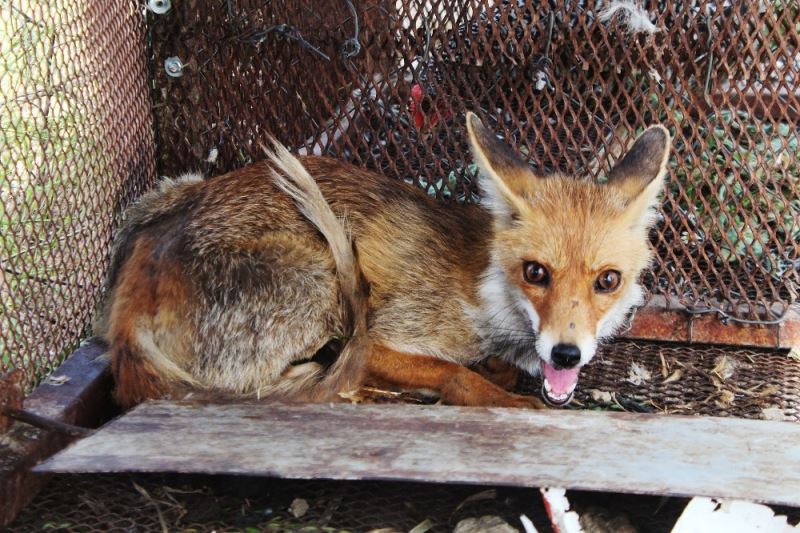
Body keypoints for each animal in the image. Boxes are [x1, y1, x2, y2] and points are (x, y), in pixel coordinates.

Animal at [95, 113, 668, 408]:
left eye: (608, 281)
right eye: (536, 273)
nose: (567, 355)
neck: (487, 297)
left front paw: (502, 373)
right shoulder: (379, 337)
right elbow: (454, 373)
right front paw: (504, 399)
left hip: (173, 188)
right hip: (321, 284)